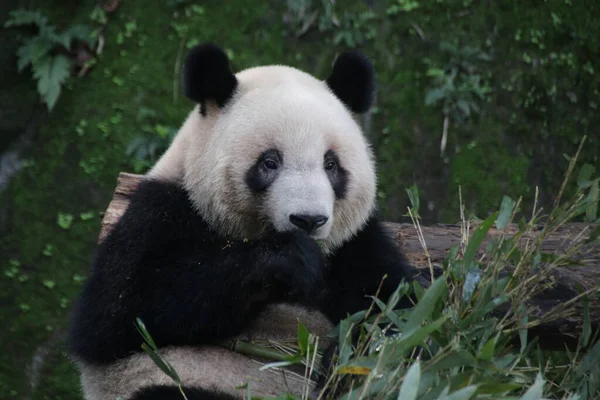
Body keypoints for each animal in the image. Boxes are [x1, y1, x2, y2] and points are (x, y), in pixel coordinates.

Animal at [67, 43, 412, 400]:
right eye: (270, 162)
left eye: (331, 165)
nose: (308, 220)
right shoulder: (160, 211)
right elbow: (117, 313)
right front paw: (291, 259)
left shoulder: (355, 244)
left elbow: (397, 309)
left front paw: (347, 360)